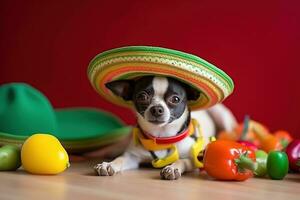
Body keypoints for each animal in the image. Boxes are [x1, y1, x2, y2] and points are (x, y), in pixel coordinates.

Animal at [94, 75, 237, 180]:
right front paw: (109, 164)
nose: (157, 109)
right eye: (142, 97)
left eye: (175, 99)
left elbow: (182, 161)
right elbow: (120, 159)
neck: (162, 137)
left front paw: (173, 168)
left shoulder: (193, 159)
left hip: (222, 116)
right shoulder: (132, 157)